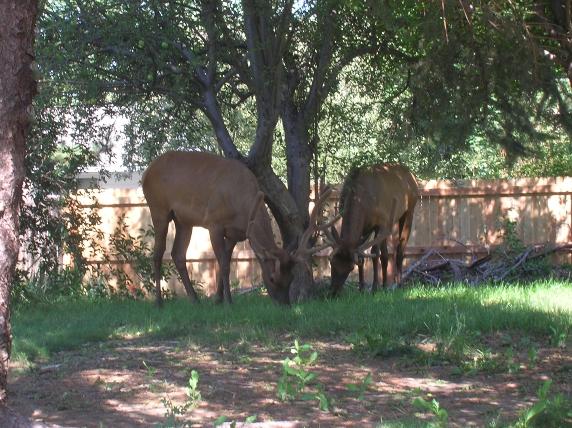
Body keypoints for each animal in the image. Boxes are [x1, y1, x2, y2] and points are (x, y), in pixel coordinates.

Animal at [141, 151, 336, 308]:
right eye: (272, 278)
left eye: (291, 278)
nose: (284, 305)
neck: (241, 206)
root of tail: (146, 171)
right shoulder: (214, 223)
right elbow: (224, 264)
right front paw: (228, 302)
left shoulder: (235, 234)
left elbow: (224, 262)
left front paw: (217, 300)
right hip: (158, 209)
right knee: (158, 253)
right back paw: (159, 303)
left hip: (183, 221)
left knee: (178, 254)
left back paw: (195, 301)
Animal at [326, 162, 420, 296]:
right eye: (332, 263)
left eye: (350, 268)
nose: (333, 292)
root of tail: (412, 175)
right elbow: (362, 256)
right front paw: (361, 288)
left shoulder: (381, 222)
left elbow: (374, 252)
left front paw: (375, 287)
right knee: (385, 254)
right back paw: (385, 285)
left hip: (409, 210)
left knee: (400, 249)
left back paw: (399, 284)